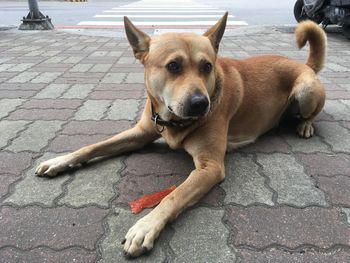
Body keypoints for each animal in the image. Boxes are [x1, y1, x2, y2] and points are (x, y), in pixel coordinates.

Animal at [34, 12, 326, 258]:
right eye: (173, 66)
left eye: (207, 66)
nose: (200, 103)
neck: (172, 121)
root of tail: (303, 65)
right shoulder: (141, 132)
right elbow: (93, 146)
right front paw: (61, 160)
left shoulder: (210, 167)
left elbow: (172, 196)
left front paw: (146, 225)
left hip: (307, 90)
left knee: (310, 113)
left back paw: (304, 124)